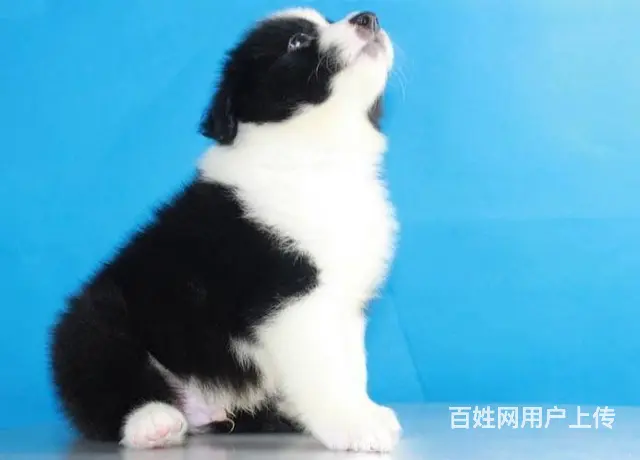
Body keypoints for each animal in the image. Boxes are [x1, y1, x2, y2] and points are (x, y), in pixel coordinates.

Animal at [49, 7, 400, 452]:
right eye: (296, 41)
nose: (368, 17)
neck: (314, 154)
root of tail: (202, 408)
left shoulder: (345, 302)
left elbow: (351, 365)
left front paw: (361, 410)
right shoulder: (291, 299)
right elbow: (323, 368)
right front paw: (354, 424)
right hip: (93, 321)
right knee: (103, 383)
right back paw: (154, 421)